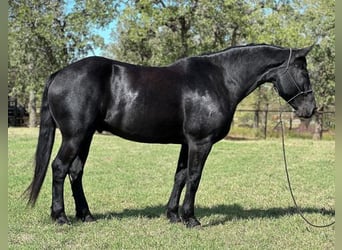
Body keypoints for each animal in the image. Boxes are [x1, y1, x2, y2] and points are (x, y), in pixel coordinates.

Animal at [25, 43, 316, 227]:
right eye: (303, 71)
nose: (311, 109)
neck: (220, 79)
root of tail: (59, 74)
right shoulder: (201, 142)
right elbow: (195, 178)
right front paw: (191, 218)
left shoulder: (187, 143)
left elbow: (180, 176)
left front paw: (173, 215)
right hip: (74, 136)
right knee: (59, 167)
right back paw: (60, 217)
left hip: (85, 136)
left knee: (75, 171)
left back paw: (86, 215)